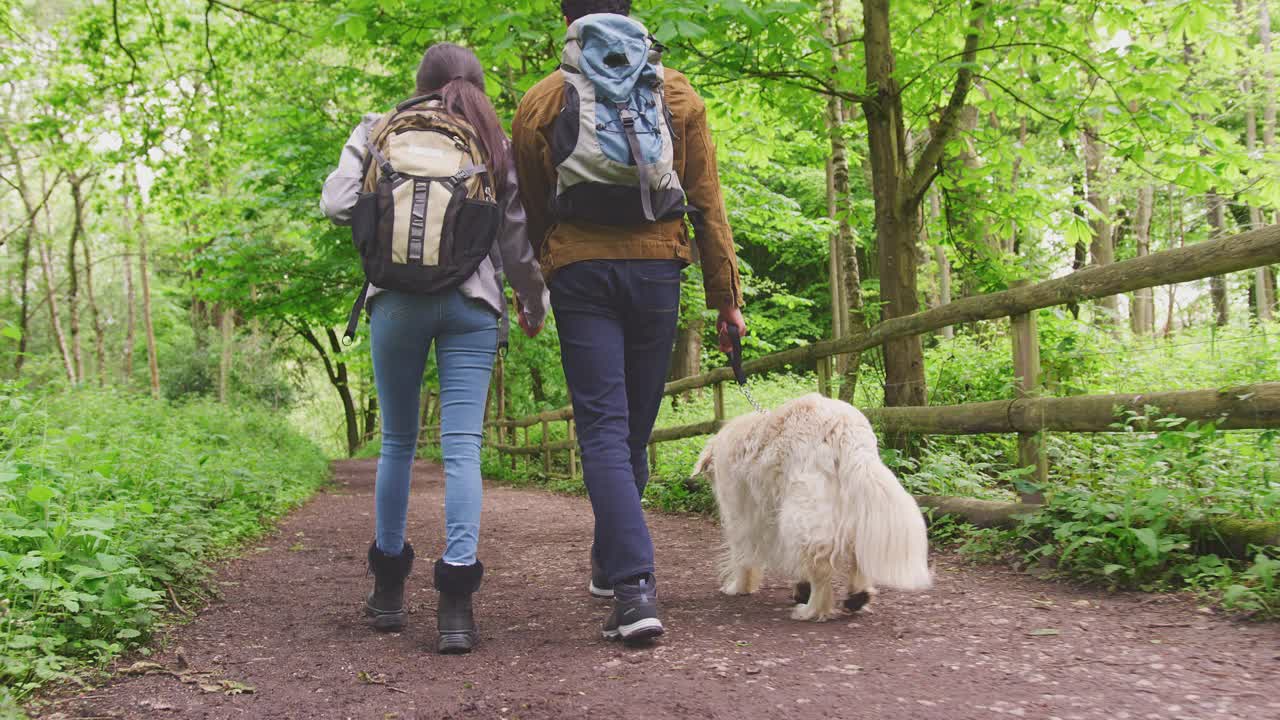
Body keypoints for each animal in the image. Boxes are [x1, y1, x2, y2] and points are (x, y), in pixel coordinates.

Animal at [701, 389, 931, 620]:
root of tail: (845, 427)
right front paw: (801, 587)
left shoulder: (742, 515)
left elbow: (742, 556)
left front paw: (738, 586)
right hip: (854, 504)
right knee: (856, 551)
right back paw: (857, 596)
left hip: (801, 513)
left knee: (820, 567)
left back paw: (812, 609)